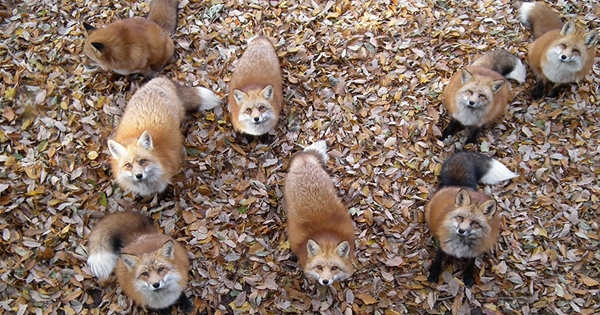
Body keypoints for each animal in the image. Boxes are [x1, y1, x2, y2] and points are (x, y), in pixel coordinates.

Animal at [424, 152, 516, 288]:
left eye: (475, 223)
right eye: (460, 217)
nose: (461, 230)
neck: (461, 245)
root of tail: (459, 185)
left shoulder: (474, 252)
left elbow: (470, 266)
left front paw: (468, 279)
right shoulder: (442, 246)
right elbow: (437, 261)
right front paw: (433, 276)